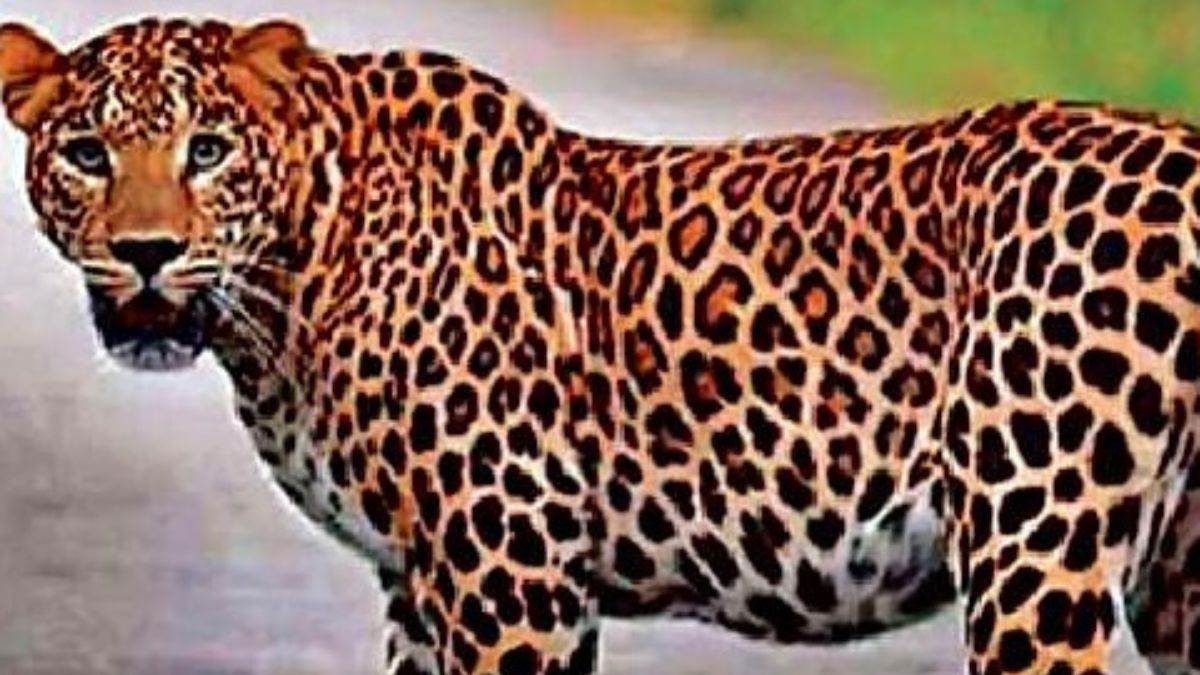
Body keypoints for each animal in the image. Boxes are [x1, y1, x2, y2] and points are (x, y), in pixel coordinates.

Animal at [4, 16, 1200, 674]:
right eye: (84, 151)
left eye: (207, 150)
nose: (147, 253)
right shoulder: (424, 586)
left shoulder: (510, 567)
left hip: (1033, 548)